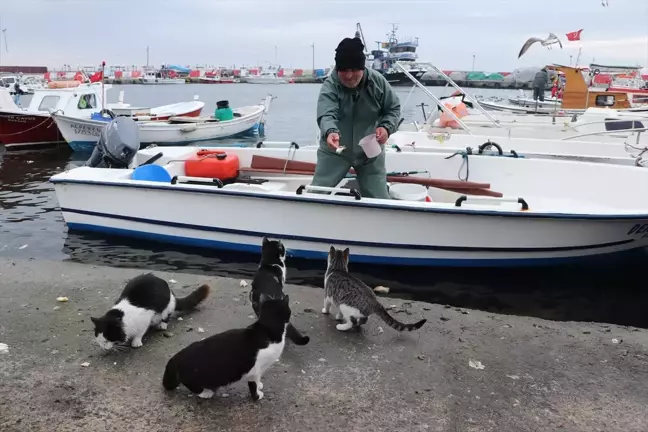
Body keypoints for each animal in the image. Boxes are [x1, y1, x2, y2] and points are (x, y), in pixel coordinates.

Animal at [162, 294, 292, 402]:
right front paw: (257, 395)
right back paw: (205, 392)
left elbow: (258, 379)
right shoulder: (255, 369)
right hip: (196, 376)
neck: (268, 327)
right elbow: (253, 385)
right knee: (189, 384)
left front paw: (259, 385)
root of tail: (178, 355)